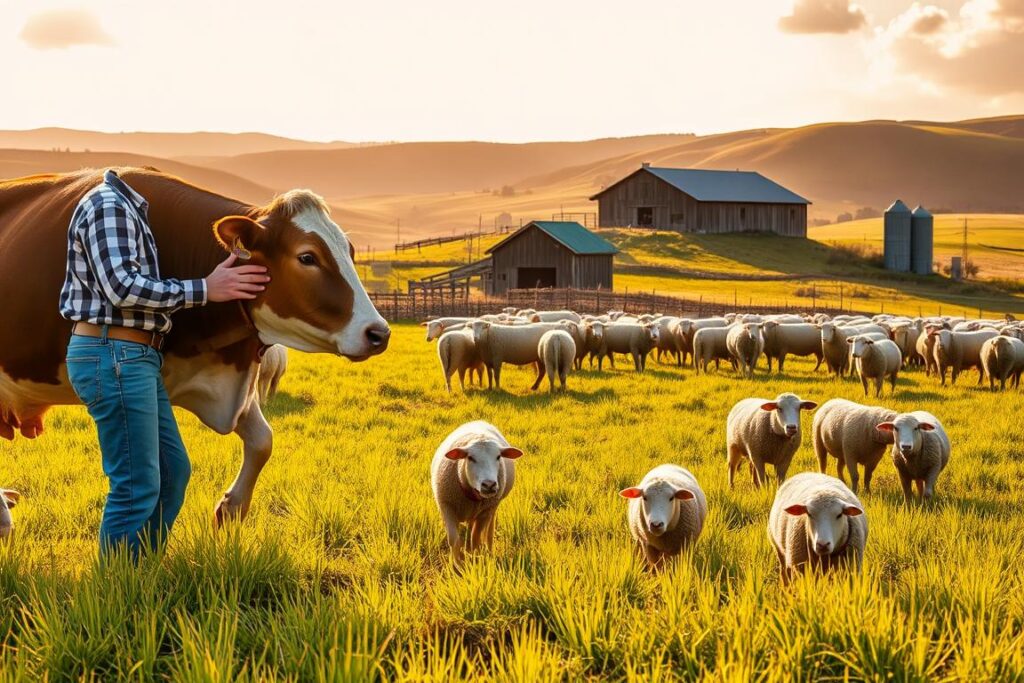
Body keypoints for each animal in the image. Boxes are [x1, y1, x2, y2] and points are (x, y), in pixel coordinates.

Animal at [431, 421, 523, 564]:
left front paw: (474, 561)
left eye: (498, 457)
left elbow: (475, 539)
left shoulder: (485, 512)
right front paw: (458, 564)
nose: (489, 484)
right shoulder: (446, 507)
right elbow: (454, 540)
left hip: (492, 507)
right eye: (470, 458)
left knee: (488, 529)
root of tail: (480, 422)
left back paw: (489, 549)